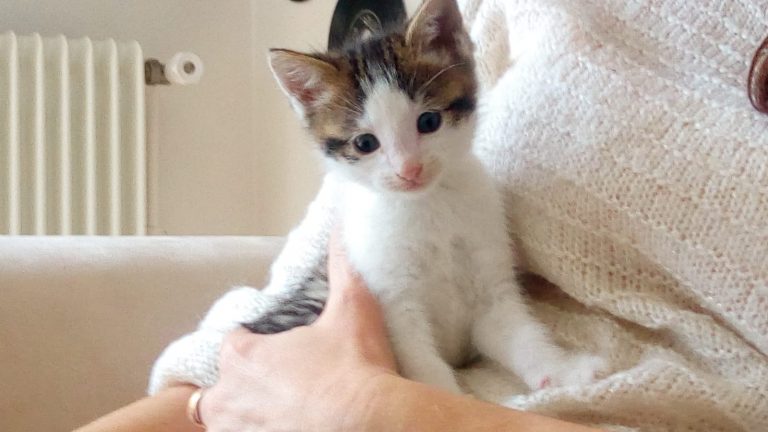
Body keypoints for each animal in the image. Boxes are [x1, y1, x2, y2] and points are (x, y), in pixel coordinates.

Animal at [241, 0, 606, 393]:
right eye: (365, 143)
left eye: (429, 122)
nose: (409, 169)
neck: (429, 206)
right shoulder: (392, 299)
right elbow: (422, 366)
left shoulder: (491, 284)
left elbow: (521, 335)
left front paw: (565, 370)